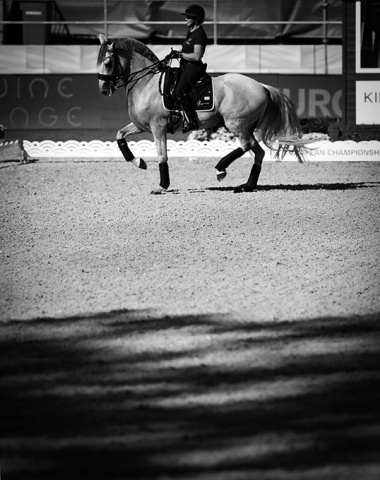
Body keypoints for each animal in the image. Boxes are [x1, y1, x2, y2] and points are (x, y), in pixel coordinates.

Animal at [96, 34, 310, 194]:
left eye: (107, 62)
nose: (104, 90)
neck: (147, 83)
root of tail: (261, 86)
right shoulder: (141, 126)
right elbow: (119, 136)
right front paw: (139, 162)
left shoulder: (158, 127)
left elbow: (162, 155)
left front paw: (162, 186)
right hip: (245, 126)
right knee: (258, 151)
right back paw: (247, 186)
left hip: (236, 124)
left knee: (247, 145)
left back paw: (220, 169)